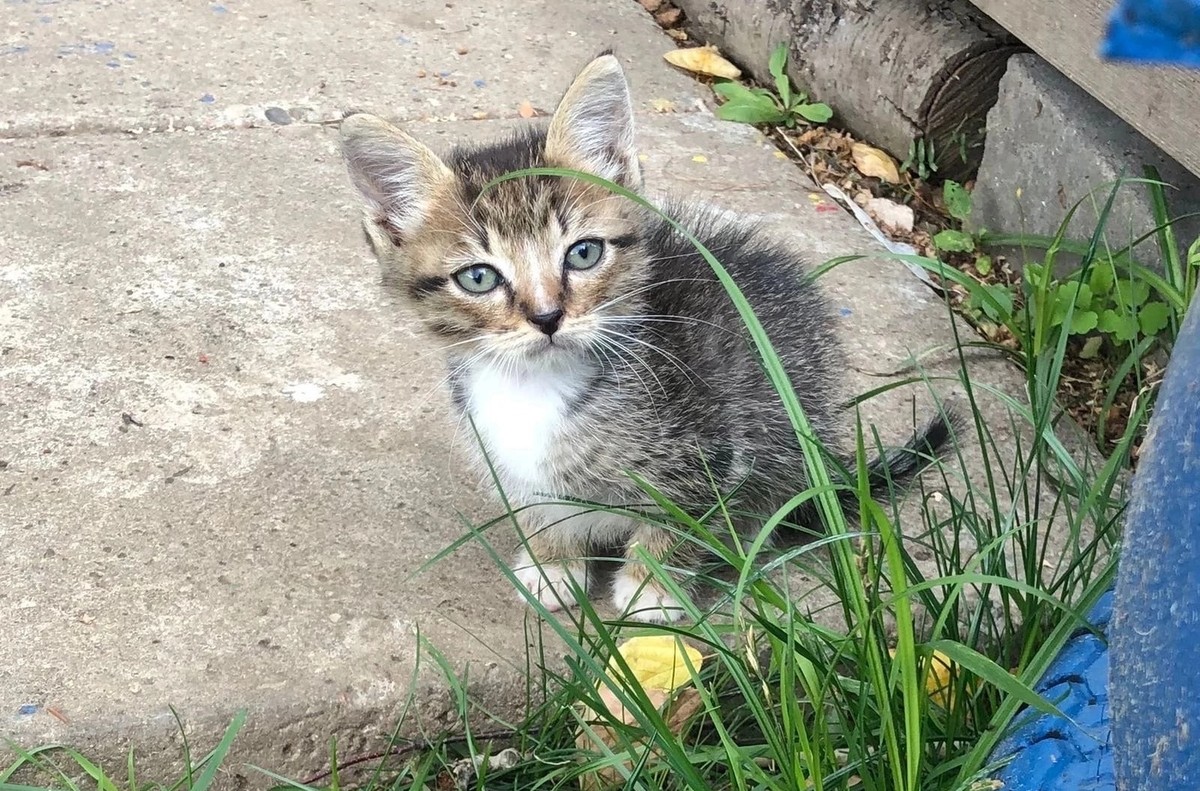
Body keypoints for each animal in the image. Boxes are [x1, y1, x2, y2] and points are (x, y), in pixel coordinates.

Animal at [333, 54, 950, 624]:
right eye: (479, 278)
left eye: (584, 253)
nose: (548, 317)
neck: (536, 389)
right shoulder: (509, 467)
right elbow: (542, 510)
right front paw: (552, 563)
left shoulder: (715, 445)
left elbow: (686, 516)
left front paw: (653, 587)